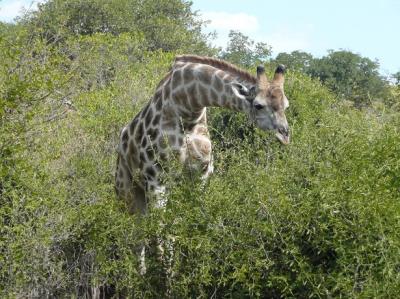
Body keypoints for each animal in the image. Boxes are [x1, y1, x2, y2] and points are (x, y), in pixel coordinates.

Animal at [114, 55, 290, 276]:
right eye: (258, 105)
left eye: (286, 105)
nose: (285, 135)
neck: (188, 106)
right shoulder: (156, 177)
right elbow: (159, 231)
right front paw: (167, 274)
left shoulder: (202, 175)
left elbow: (192, 221)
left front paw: (192, 264)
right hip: (127, 190)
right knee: (136, 233)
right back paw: (141, 275)